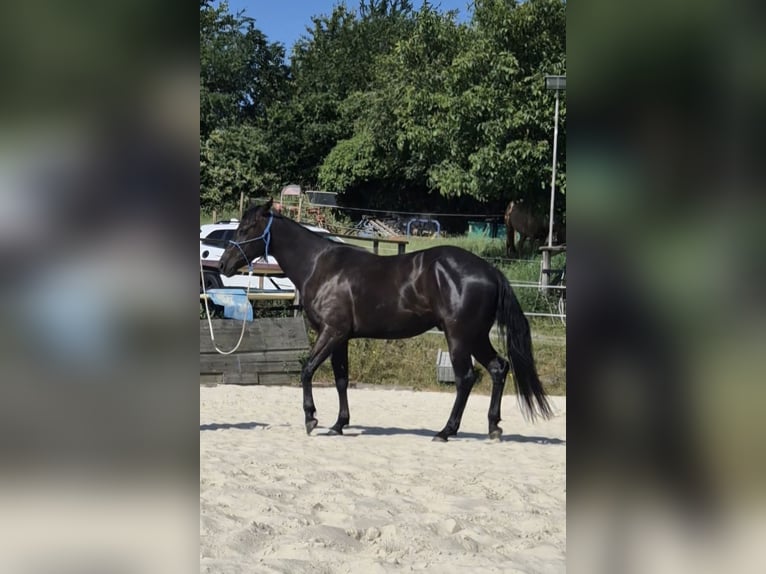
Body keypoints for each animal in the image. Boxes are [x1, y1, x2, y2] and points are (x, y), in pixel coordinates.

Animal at [219, 200, 552, 441]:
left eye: (247, 228)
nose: (223, 264)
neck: (320, 266)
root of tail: (490, 271)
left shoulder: (331, 332)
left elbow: (307, 370)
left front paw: (311, 418)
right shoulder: (341, 337)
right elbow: (341, 380)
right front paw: (339, 424)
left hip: (459, 337)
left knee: (466, 379)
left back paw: (446, 431)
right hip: (475, 336)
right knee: (498, 368)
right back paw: (493, 427)